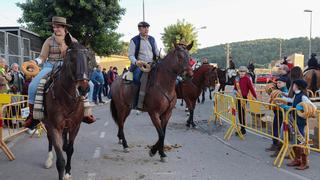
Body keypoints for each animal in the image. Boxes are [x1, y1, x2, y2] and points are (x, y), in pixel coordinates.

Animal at [40, 34, 92, 180]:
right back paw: (48, 159)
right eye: (71, 59)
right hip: (47, 123)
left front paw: (68, 172)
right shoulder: (54, 126)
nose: (83, 89)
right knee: (49, 139)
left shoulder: (75, 126)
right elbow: (60, 160)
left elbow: (69, 149)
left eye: (88, 59)